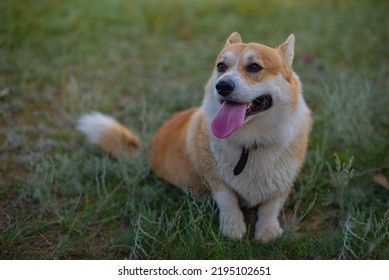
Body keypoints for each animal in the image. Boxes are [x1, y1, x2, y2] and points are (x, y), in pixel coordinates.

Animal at [78, 32, 312, 242]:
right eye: (221, 67)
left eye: (254, 67)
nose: (222, 86)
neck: (249, 143)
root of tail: (148, 148)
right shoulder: (215, 178)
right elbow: (228, 200)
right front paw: (233, 228)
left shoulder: (283, 182)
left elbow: (270, 206)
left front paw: (267, 231)